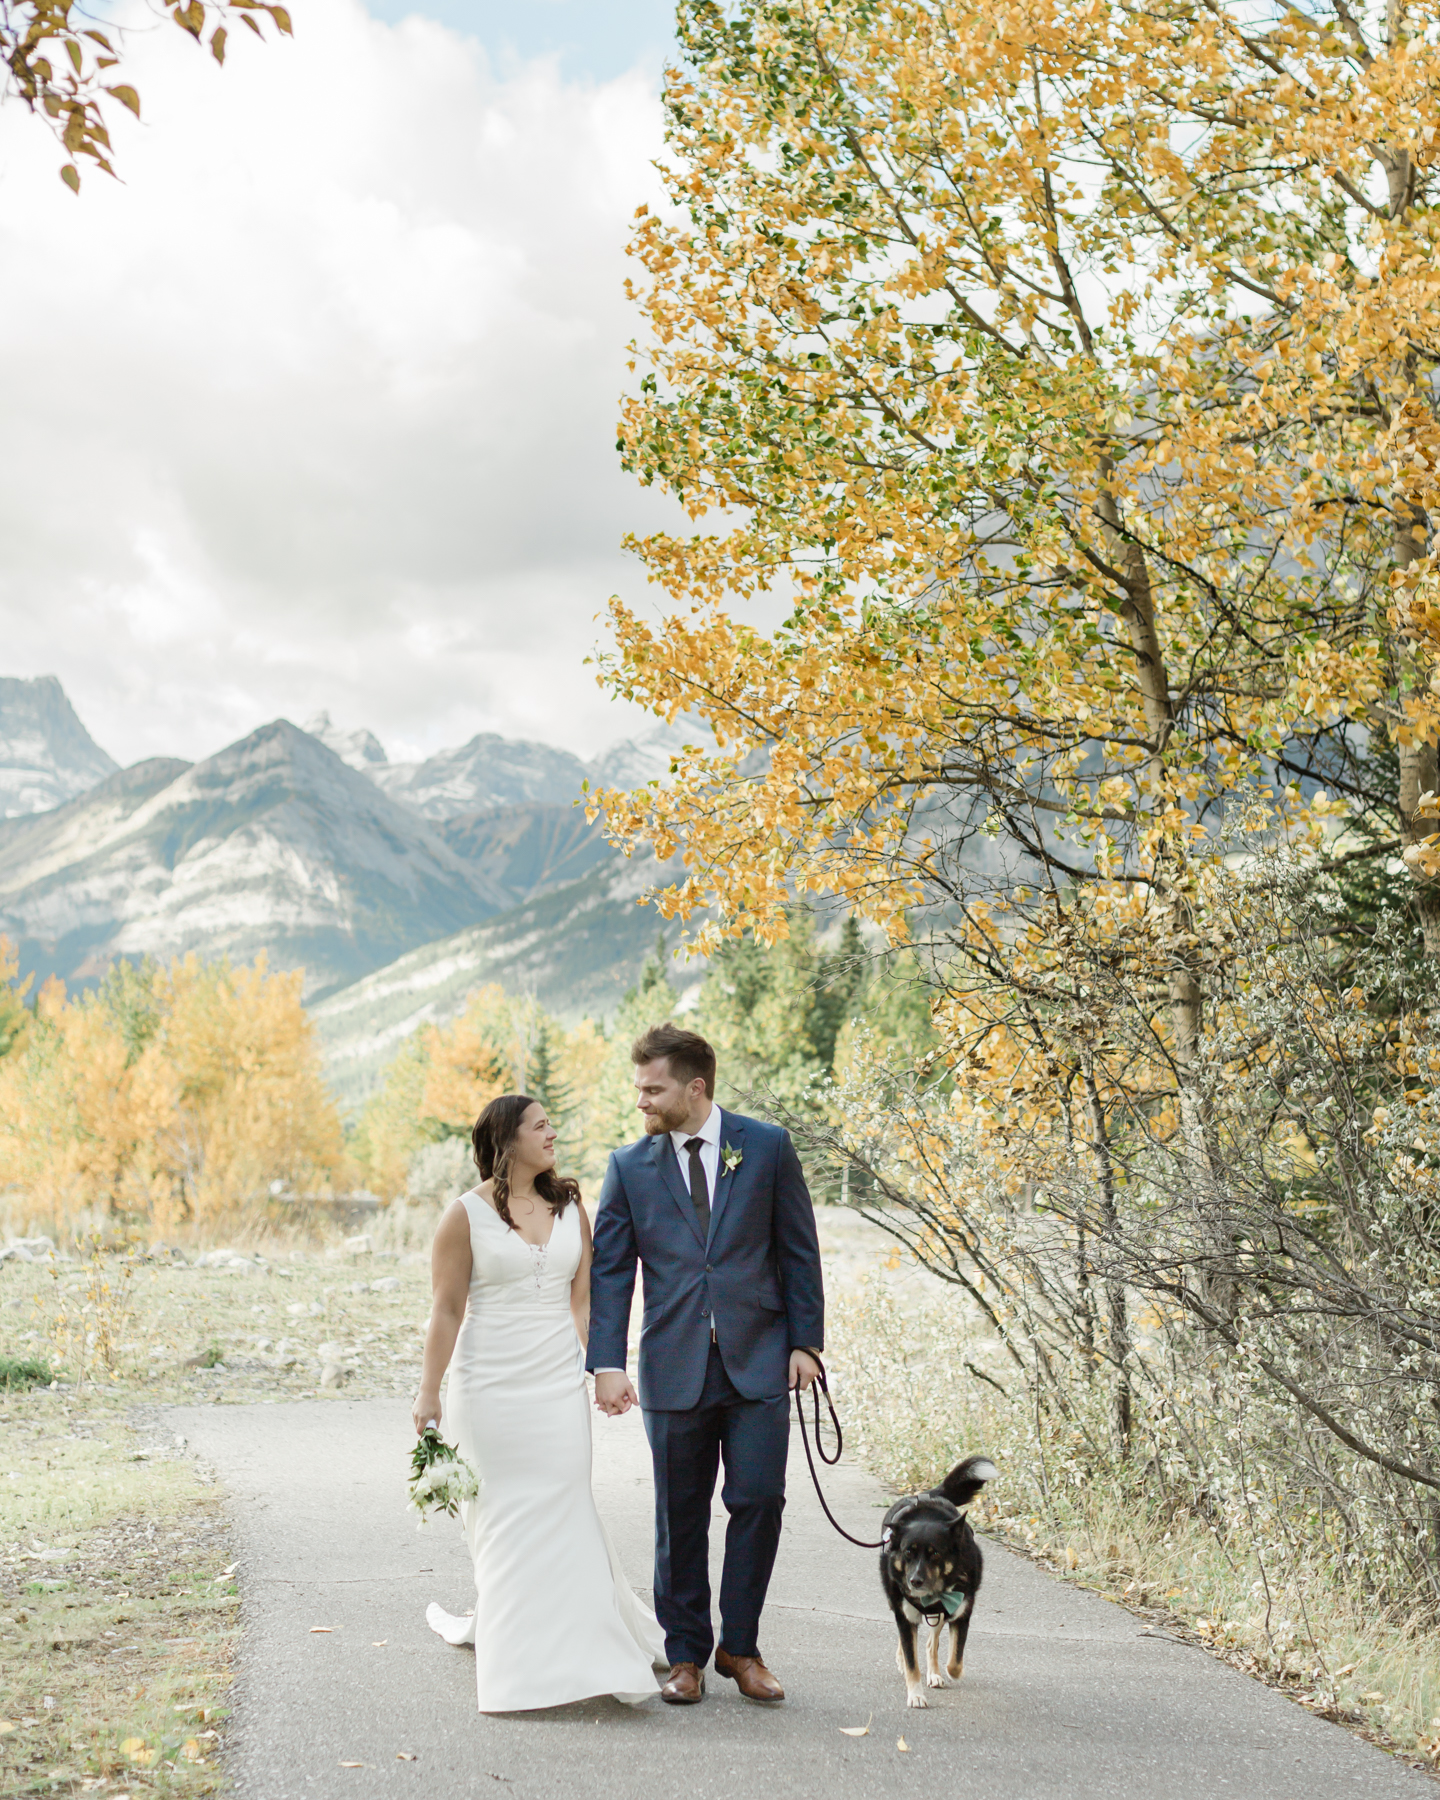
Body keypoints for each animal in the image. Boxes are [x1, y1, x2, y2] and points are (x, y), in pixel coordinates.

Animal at [882, 1454, 993, 1706]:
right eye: (908, 1552)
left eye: (935, 1554)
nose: (915, 1581)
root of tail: (925, 1495)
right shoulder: (905, 1614)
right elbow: (911, 1660)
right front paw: (916, 1695)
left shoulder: (961, 1612)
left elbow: (955, 1662)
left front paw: (948, 1672)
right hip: (899, 1605)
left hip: (938, 1615)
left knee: (931, 1643)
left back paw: (934, 1674)